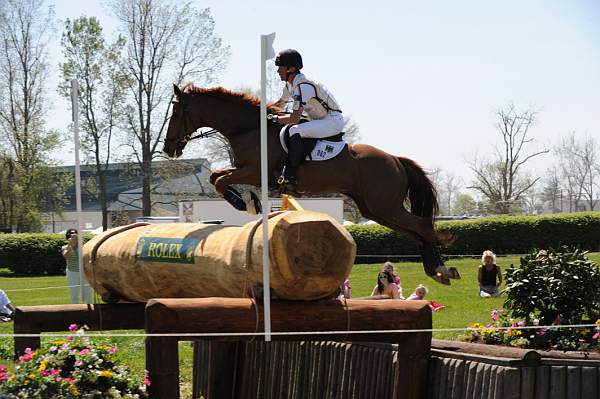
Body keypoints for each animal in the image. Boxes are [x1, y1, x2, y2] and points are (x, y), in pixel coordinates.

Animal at [162, 84, 458, 284]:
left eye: (177, 112)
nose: (168, 149)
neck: (249, 129)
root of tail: (395, 160)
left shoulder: (254, 172)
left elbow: (220, 180)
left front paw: (247, 203)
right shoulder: (245, 170)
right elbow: (216, 177)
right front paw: (249, 201)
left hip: (384, 206)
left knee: (421, 226)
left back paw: (442, 268)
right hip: (374, 209)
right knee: (415, 231)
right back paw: (436, 270)